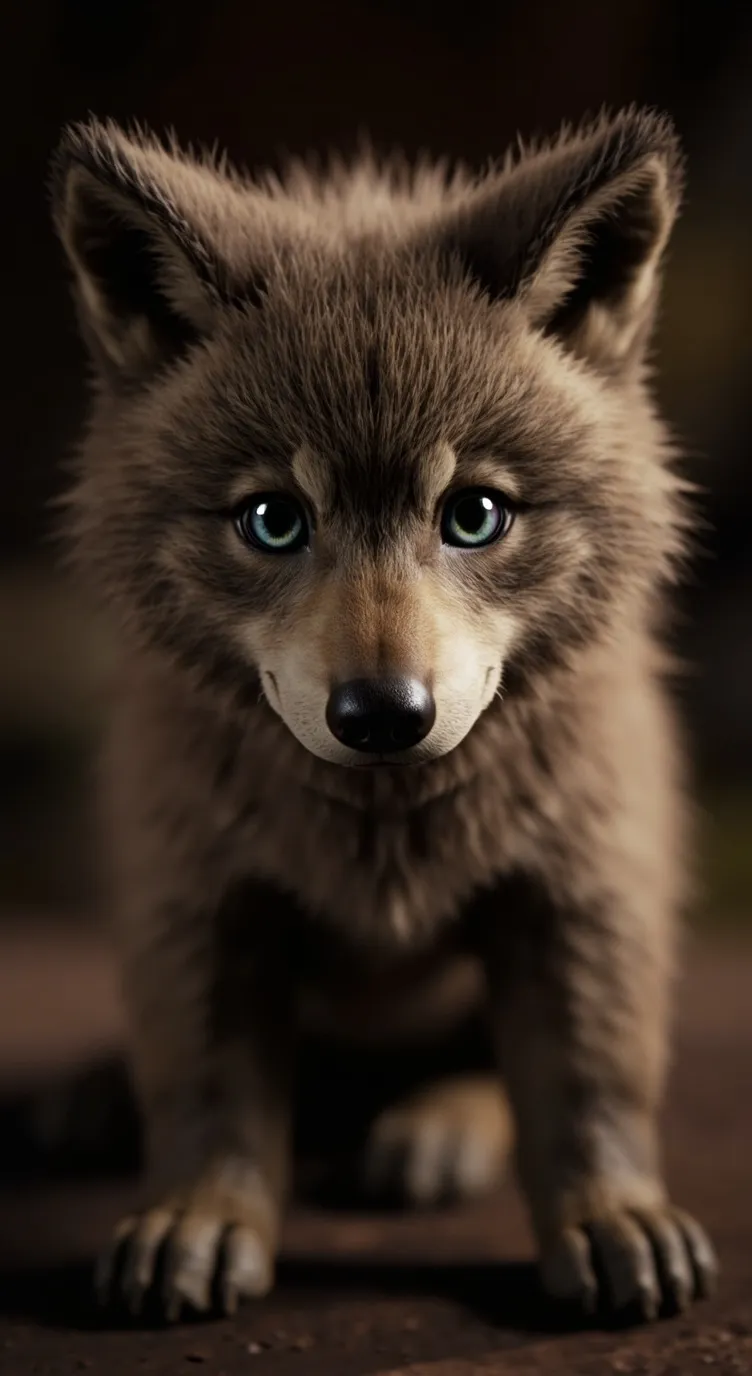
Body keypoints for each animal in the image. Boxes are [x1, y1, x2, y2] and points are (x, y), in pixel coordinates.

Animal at [51, 106, 717, 1324]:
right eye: (272, 519)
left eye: (474, 514)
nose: (381, 712)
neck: (384, 829)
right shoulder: (199, 898)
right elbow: (207, 1090)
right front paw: (196, 1216)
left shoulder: (584, 883)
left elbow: (589, 1078)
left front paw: (613, 1216)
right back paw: (93, 1096)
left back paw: (433, 1129)